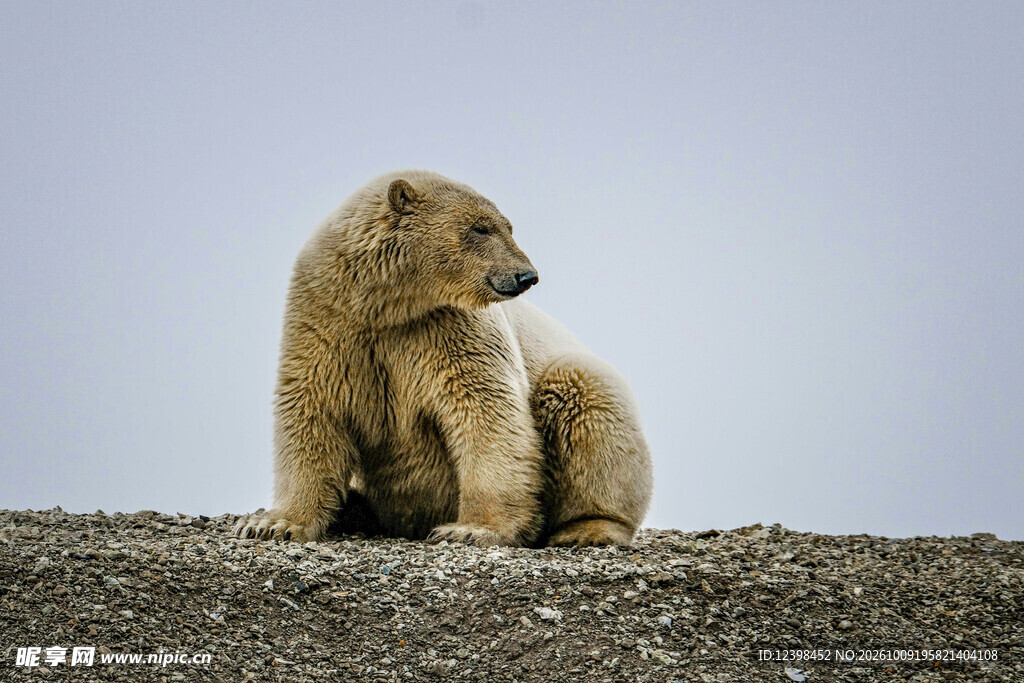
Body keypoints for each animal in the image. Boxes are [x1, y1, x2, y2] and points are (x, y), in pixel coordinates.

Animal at [233, 171, 652, 547]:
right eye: (480, 228)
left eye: (507, 226)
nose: (527, 275)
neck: (387, 307)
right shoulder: (327, 321)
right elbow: (312, 409)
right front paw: (272, 523)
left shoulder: (452, 329)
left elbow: (487, 412)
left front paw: (470, 529)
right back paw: (351, 507)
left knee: (584, 397)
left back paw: (588, 529)